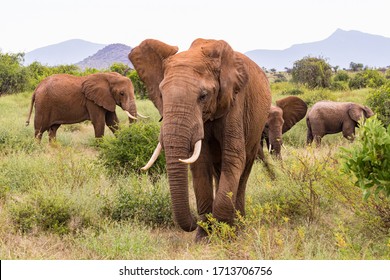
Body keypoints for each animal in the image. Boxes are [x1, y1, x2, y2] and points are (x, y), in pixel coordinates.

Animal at [129, 38, 270, 241]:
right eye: (161, 95)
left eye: (203, 96)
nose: (194, 220)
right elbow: (200, 163)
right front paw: (204, 237)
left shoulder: (236, 102)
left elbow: (233, 156)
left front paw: (225, 234)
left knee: (243, 171)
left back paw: (239, 227)